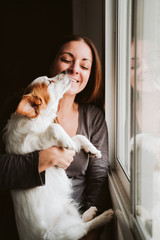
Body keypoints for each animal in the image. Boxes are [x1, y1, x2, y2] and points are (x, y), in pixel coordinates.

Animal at [3, 72, 114, 240]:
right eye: (50, 81)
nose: (67, 71)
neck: (38, 120)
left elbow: (79, 137)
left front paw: (93, 150)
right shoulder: (31, 143)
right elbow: (54, 127)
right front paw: (65, 138)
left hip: (68, 209)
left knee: (81, 220)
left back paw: (91, 212)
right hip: (63, 229)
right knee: (84, 228)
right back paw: (105, 216)